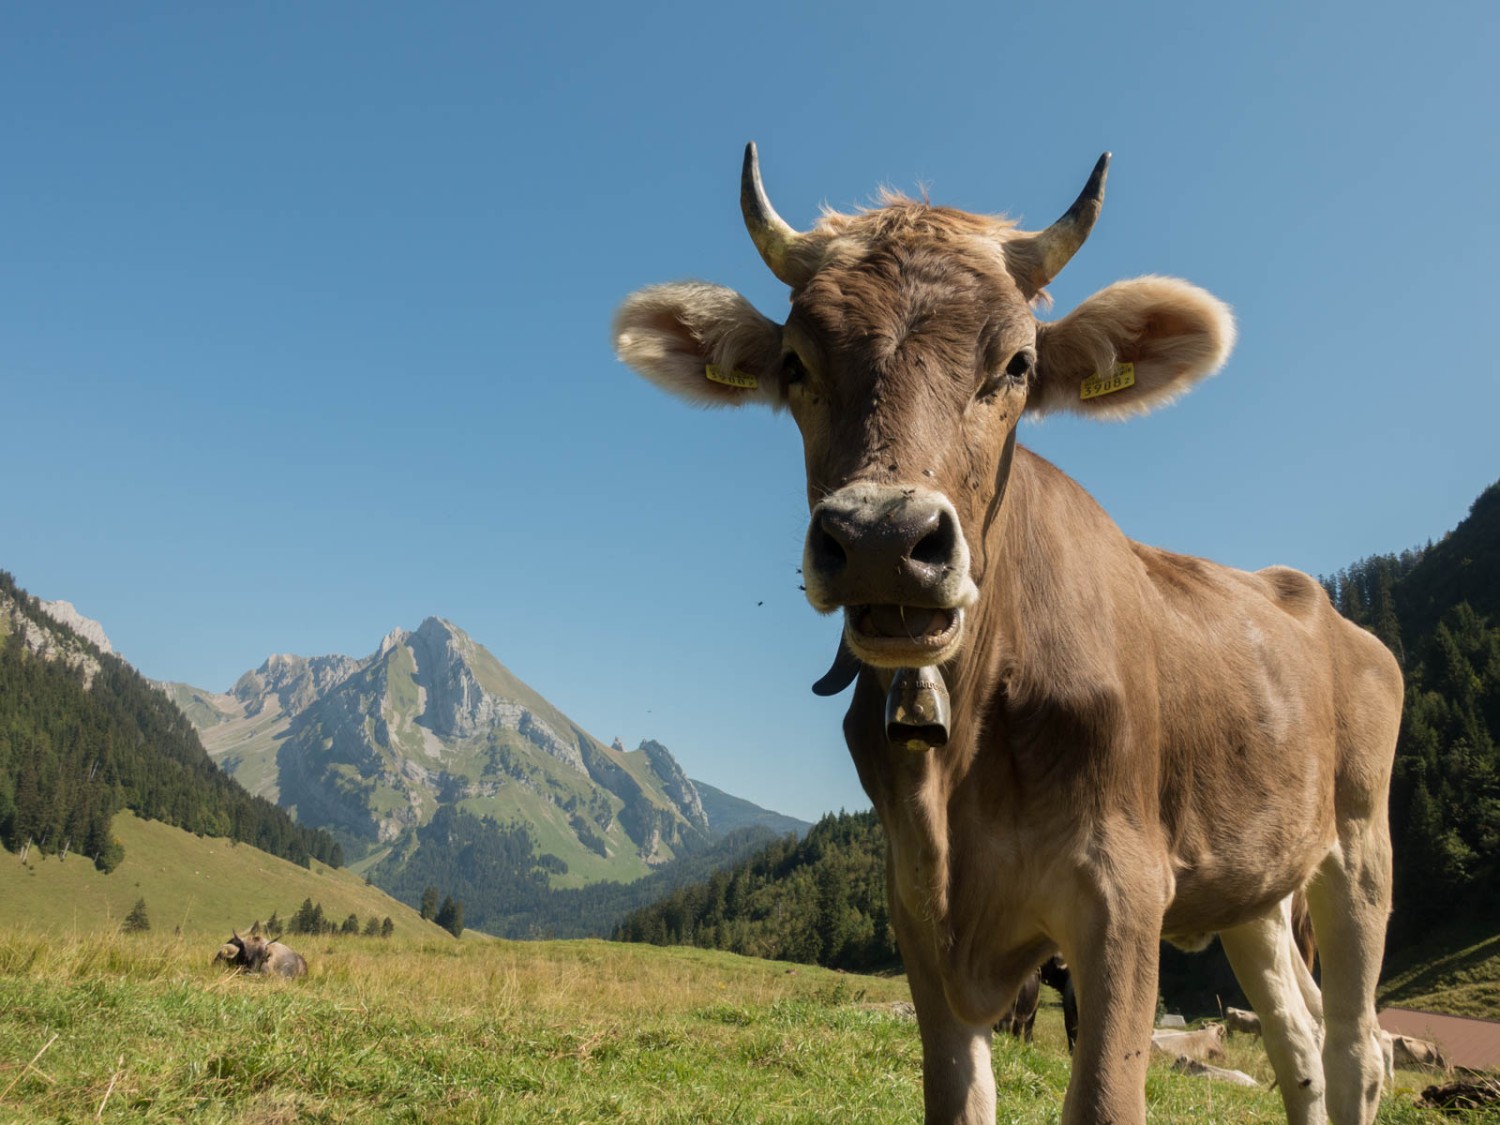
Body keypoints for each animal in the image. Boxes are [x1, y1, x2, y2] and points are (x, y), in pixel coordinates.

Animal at [612, 147, 1404, 1125]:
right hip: (1253, 886)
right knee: (1298, 1038)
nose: (882, 539)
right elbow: (957, 1095)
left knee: (1356, 1046)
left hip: (1360, 843)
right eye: (796, 363)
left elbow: (1105, 1097)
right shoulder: (920, 905)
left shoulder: (1123, 892)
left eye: (1018, 362)